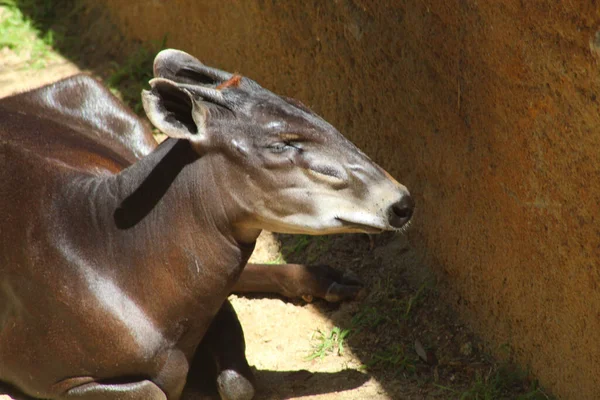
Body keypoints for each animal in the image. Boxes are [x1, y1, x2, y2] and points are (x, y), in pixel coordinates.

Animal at [0, 50, 412, 400]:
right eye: (282, 143)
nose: (401, 203)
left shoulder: (212, 306)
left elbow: (237, 382)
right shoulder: (53, 375)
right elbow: (157, 389)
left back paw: (333, 279)